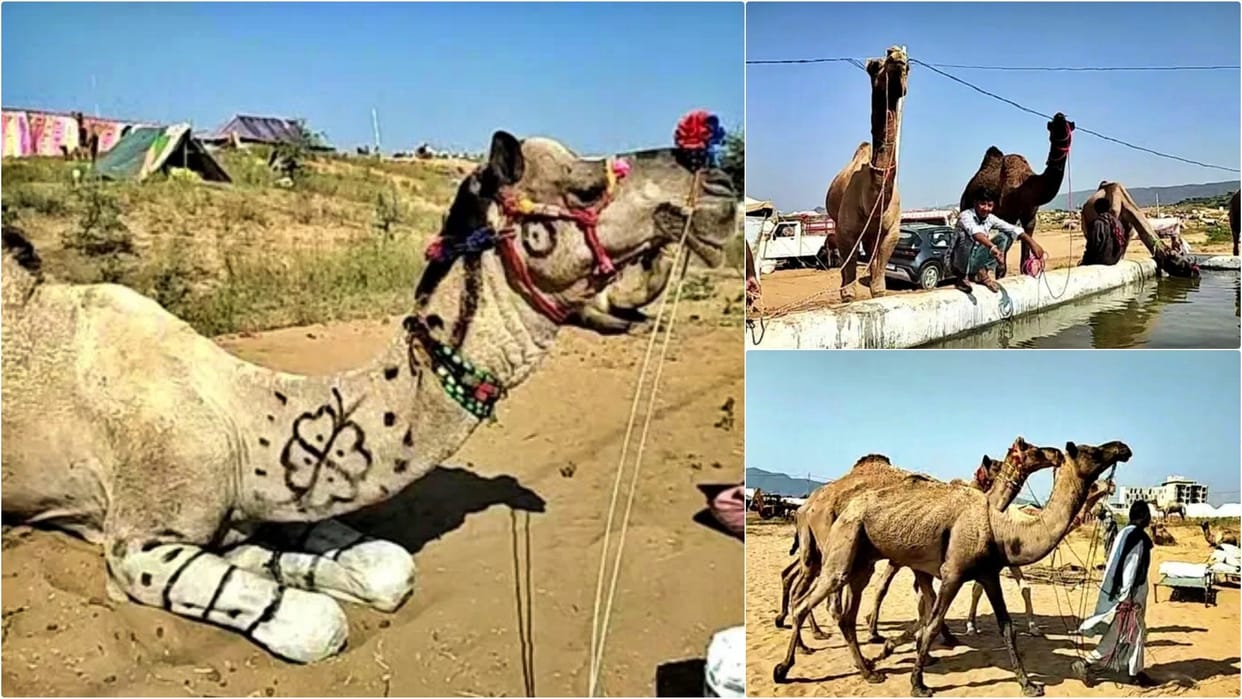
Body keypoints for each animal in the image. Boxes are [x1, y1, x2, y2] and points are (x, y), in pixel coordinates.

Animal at [0, 130, 738, 663]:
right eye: (587, 185)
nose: (720, 185)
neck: (241, 419)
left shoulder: (263, 498)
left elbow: (384, 565)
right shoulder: (138, 544)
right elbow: (316, 621)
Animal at [774, 440, 1132, 697]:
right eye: (1092, 450)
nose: (1122, 447)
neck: (1000, 528)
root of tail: (807, 506)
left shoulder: (988, 574)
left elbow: (1006, 627)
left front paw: (1028, 684)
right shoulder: (952, 572)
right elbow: (931, 621)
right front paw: (918, 682)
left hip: (861, 560)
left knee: (845, 612)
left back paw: (869, 670)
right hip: (841, 547)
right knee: (809, 600)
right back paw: (787, 665)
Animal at [823, 46, 909, 302]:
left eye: (908, 66)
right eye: (873, 66)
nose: (896, 53)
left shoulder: (891, 231)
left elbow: (879, 281)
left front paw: (876, 289)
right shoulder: (845, 230)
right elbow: (849, 267)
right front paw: (847, 294)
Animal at [959, 113, 1075, 275]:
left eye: (1066, 126)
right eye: (1053, 129)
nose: (1059, 115)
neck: (1028, 186)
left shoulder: (1030, 217)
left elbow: (1024, 258)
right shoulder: (1009, 215)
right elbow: (1002, 265)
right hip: (965, 205)